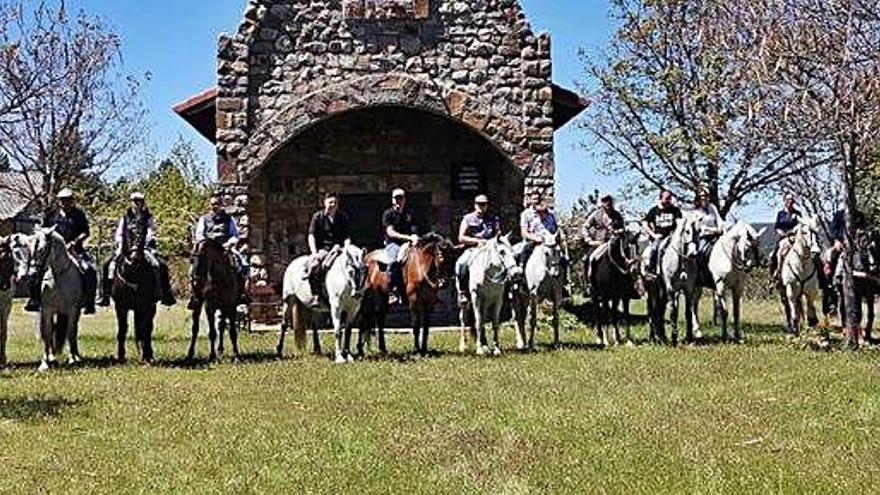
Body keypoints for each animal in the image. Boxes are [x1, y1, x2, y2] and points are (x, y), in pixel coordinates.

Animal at [12, 229, 84, 372]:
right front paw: (45, 362)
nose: (32, 274)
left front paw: (73, 359)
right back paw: (52, 357)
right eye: (31, 249)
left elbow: (71, 332)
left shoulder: (73, 310)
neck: (58, 276)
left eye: (42, 249)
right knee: (50, 331)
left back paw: (76, 355)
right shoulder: (46, 310)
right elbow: (47, 333)